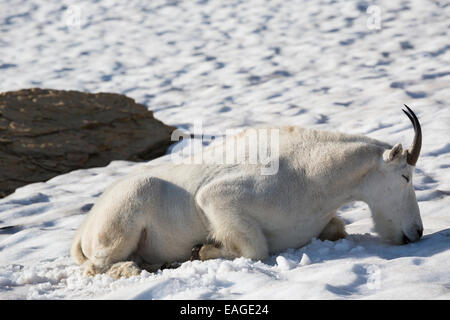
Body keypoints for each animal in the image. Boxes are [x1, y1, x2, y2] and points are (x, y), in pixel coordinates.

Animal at [70, 105, 422, 278]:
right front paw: (203, 249)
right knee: (95, 267)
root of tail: (84, 229)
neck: (312, 175)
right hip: (126, 215)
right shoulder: (217, 198)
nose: (416, 232)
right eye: (405, 176)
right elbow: (255, 249)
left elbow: (337, 227)